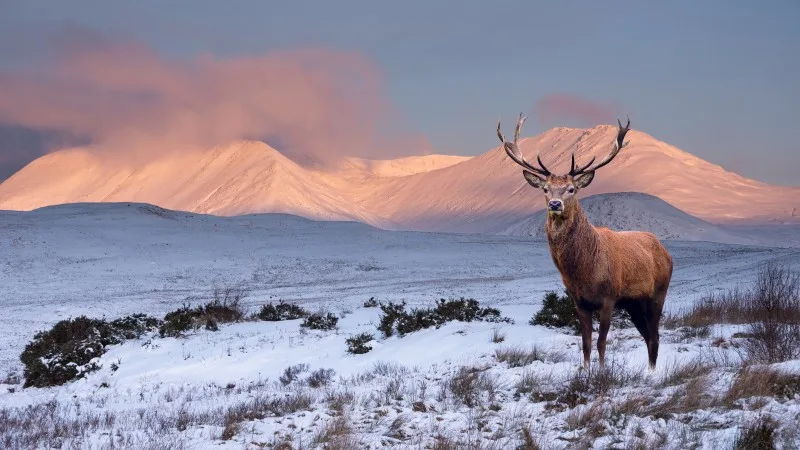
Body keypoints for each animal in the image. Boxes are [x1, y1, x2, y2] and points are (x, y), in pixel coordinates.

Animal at [497, 114, 673, 370]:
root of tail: (665, 251)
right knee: (648, 335)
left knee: (655, 335)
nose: (555, 204)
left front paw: (601, 373)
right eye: (546, 189)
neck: (585, 272)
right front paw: (586, 371)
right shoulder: (579, 301)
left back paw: (652, 372)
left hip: (658, 293)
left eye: (571, 189)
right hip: (634, 304)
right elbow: (586, 343)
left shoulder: (609, 297)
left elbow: (601, 343)